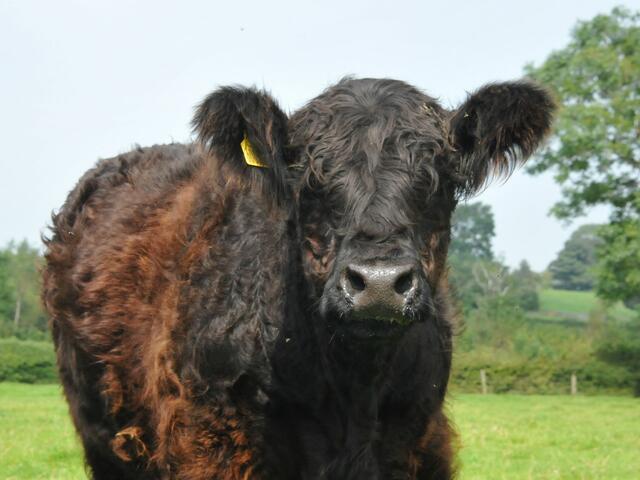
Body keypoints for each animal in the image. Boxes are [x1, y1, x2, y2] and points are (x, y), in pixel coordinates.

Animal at [42, 77, 555, 479]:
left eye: (440, 177)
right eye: (308, 180)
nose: (379, 282)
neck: (352, 389)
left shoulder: (414, 439)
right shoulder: (211, 440)